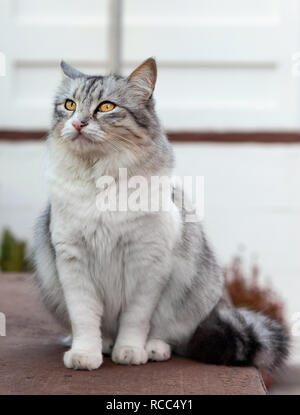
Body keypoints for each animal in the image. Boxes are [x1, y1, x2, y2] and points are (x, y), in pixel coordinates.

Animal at [34, 57, 290, 370]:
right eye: (69, 105)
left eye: (105, 107)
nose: (78, 123)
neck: (99, 179)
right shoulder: (73, 260)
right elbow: (84, 318)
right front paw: (85, 354)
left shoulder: (147, 263)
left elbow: (135, 320)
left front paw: (130, 351)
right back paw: (105, 344)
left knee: (170, 335)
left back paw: (153, 349)